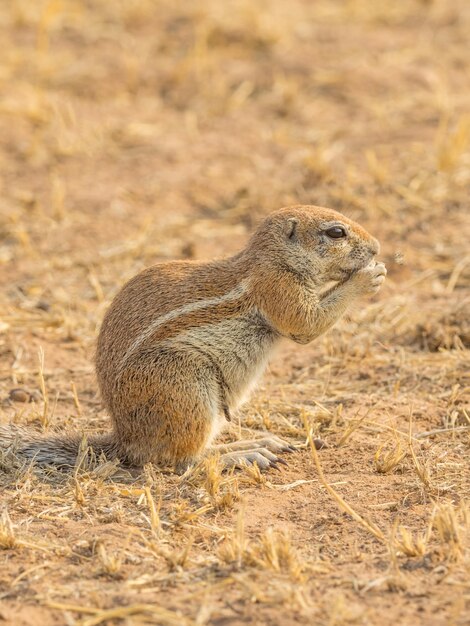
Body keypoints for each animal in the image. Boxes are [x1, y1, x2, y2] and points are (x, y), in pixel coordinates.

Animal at [0, 205, 386, 468]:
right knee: (181, 459)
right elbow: (308, 323)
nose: (378, 247)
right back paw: (246, 454)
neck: (272, 259)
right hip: (186, 385)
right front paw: (368, 277)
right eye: (336, 233)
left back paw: (259, 442)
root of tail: (125, 440)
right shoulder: (278, 289)